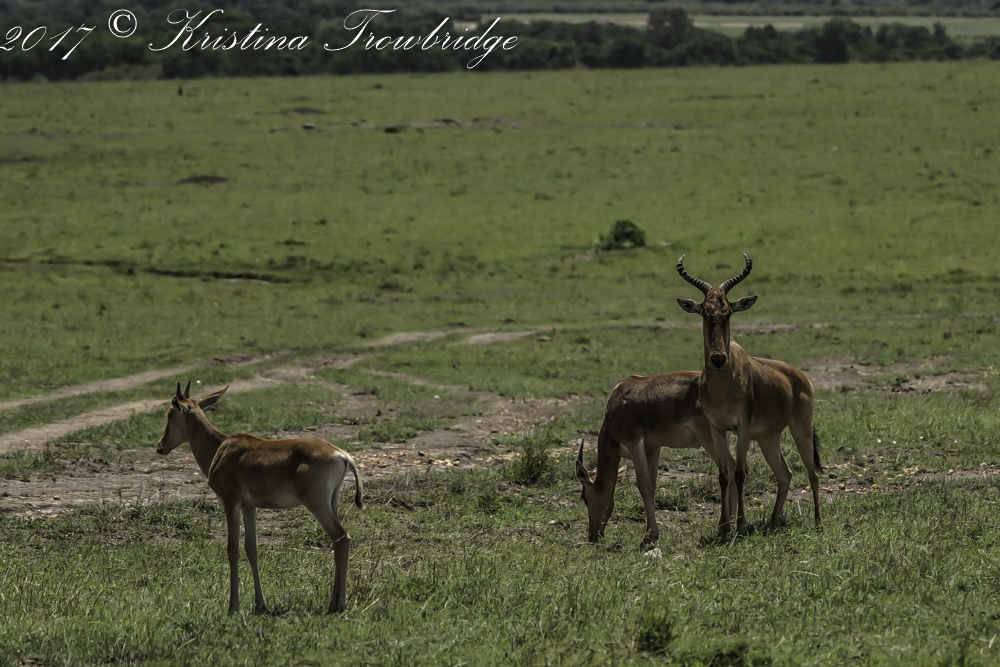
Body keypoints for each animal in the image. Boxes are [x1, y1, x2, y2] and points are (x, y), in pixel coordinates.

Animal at [154, 382, 363, 614]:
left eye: (170, 413)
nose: (160, 446)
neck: (222, 446)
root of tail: (342, 454)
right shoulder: (249, 507)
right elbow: (251, 549)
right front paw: (260, 604)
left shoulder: (231, 503)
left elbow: (232, 549)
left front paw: (233, 608)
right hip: (332, 502)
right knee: (337, 541)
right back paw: (333, 602)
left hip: (317, 505)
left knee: (342, 538)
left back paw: (338, 605)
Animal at [575, 371, 738, 545]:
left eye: (584, 497)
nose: (592, 536)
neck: (620, 395)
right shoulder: (653, 448)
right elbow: (652, 486)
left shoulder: (634, 443)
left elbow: (644, 486)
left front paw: (649, 536)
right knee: (733, 468)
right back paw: (733, 523)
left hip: (708, 439)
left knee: (729, 468)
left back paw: (724, 527)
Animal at [675, 253, 822, 537]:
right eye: (705, 312)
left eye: (728, 312)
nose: (718, 359)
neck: (724, 384)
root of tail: (800, 377)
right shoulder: (717, 428)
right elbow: (724, 475)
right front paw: (723, 527)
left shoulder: (743, 427)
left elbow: (740, 473)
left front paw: (741, 526)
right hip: (768, 438)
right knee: (785, 474)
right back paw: (773, 521)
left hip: (800, 428)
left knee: (813, 474)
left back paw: (819, 522)